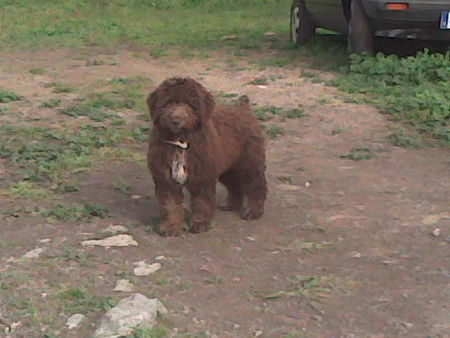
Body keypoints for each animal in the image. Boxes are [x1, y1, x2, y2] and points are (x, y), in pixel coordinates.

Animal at [147, 77, 268, 235]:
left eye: (191, 104)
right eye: (168, 103)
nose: (176, 120)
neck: (181, 142)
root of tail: (243, 109)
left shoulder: (202, 177)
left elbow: (201, 202)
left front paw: (200, 224)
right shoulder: (166, 179)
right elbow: (170, 204)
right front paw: (171, 226)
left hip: (249, 162)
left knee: (256, 184)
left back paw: (253, 211)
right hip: (228, 166)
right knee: (234, 184)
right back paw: (231, 205)